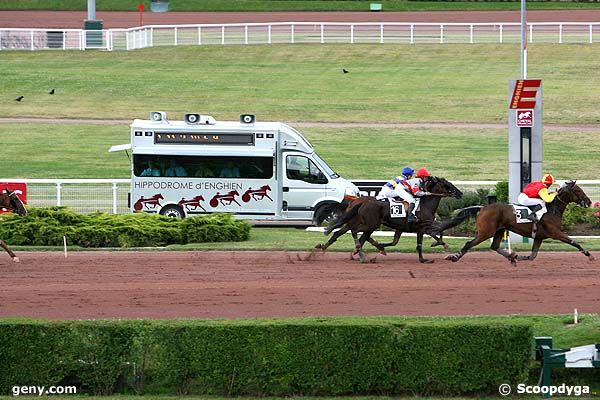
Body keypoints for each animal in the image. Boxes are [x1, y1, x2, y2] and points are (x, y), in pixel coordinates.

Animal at [316, 177, 462, 264]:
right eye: (447, 184)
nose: (460, 193)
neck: (425, 205)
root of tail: (361, 201)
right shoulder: (423, 226)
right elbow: (436, 234)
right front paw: (438, 247)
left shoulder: (406, 228)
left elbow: (399, 242)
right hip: (371, 224)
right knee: (355, 232)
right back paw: (359, 253)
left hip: (363, 222)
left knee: (343, 233)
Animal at [442, 181, 592, 266]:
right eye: (578, 190)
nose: (589, 202)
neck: (551, 209)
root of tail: (482, 208)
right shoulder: (555, 233)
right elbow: (573, 242)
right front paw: (589, 254)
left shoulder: (539, 237)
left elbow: (532, 256)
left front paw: (516, 257)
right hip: (486, 232)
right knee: (469, 243)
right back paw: (454, 257)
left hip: (499, 230)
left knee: (494, 246)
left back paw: (511, 257)